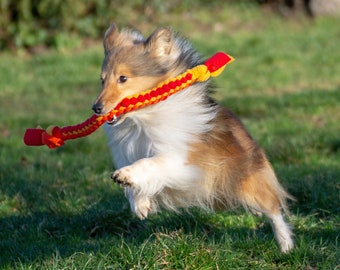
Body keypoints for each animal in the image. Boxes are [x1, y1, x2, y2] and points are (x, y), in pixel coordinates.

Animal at [91, 23, 294, 253]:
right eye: (102, 80)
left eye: (123, 78)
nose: (96, 108)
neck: (143, 117)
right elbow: (139, 183)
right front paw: (141, 205)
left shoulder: (181, 160)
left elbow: (149, 163)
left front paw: (124, 176)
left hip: (249, 185)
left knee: (273, 209)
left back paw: (286, 245)